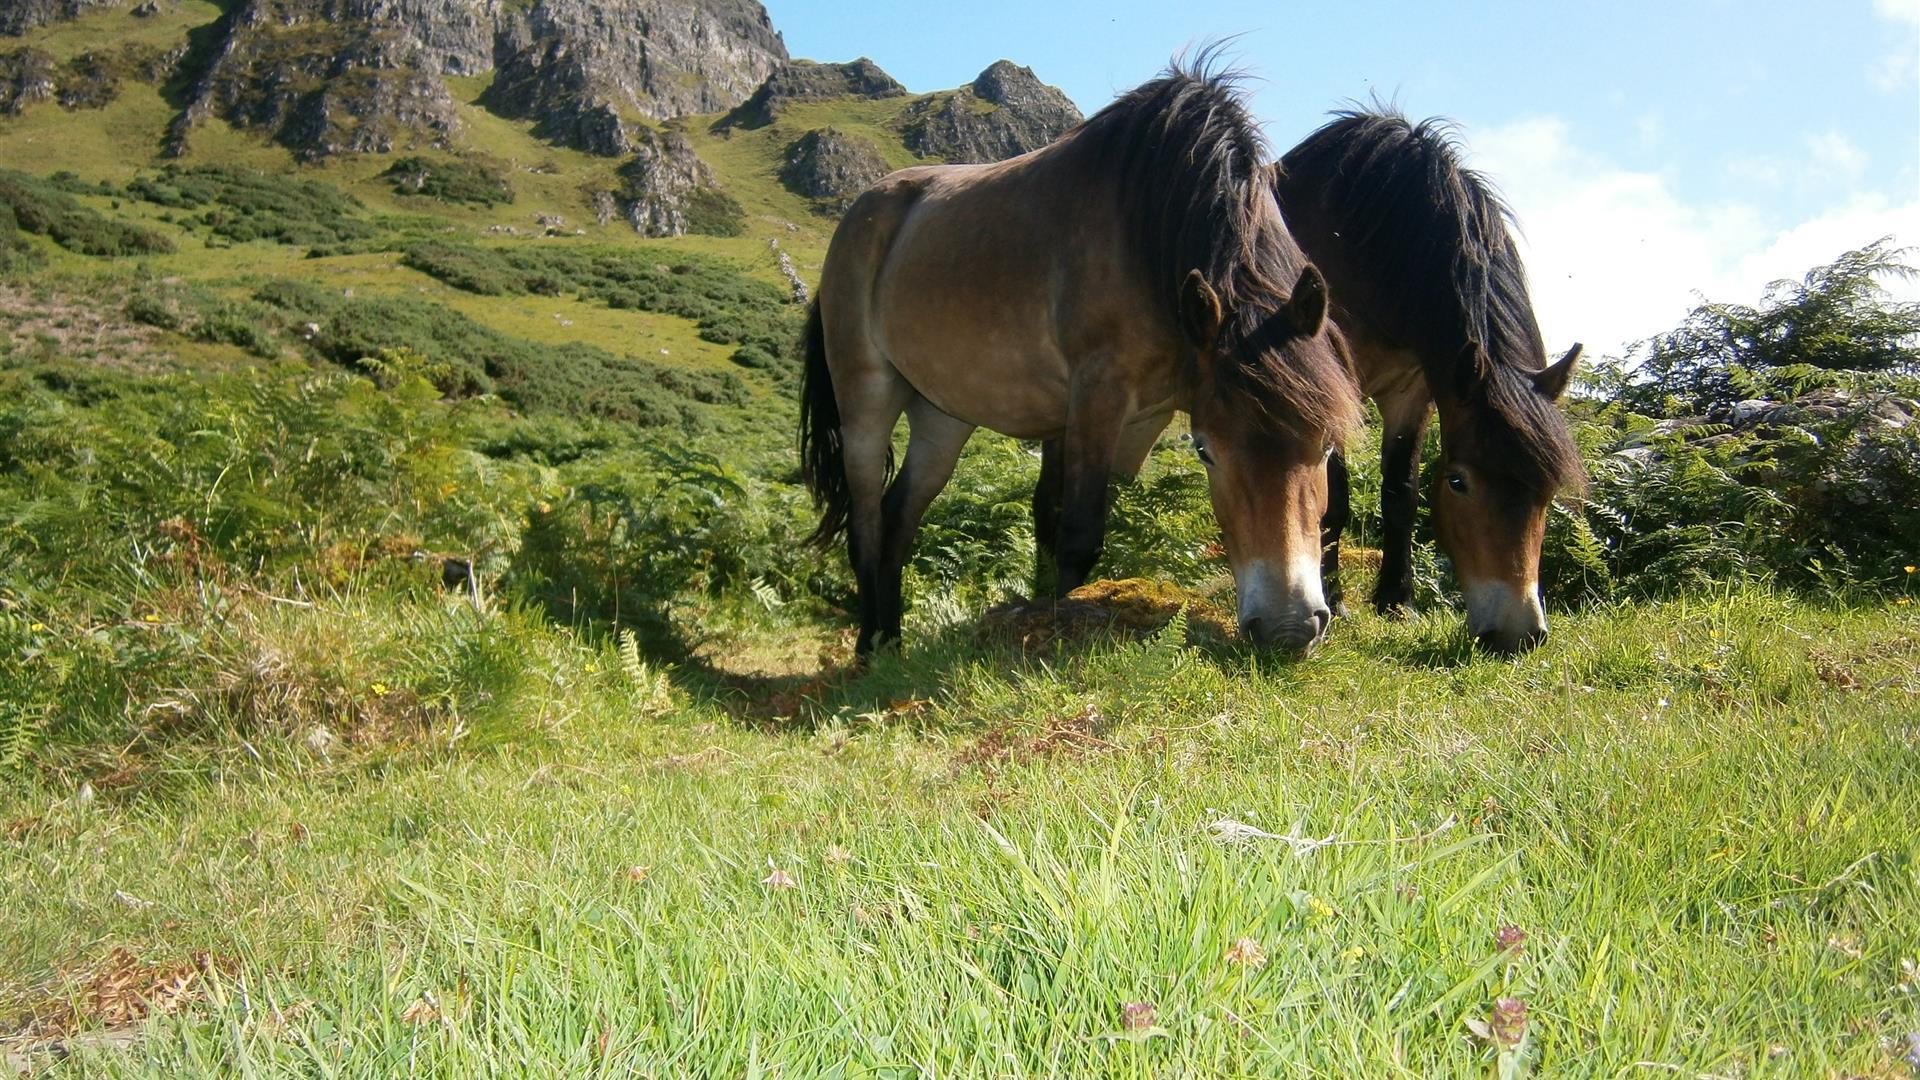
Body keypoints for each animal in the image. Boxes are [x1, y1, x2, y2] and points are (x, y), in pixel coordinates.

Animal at [802, 67, 1359, 661]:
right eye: (1205, 452)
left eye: (1327, 446)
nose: (1288, 628)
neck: (1148, 230)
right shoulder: (1097, 398)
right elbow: (1078, 533)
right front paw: (1058, 624)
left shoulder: (1141, 420)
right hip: (865, 401)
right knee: (865, 522)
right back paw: (868, 647)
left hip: (942, 417)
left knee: (899, 516)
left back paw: (891, 642)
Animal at [1274, 107, 1589, 645]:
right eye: (1459, 483)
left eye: (1547, 491)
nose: (1518, 632)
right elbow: (1332, 499)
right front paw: (1335, 600)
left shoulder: (1414, 391)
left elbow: (1401, 493)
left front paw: (1397, 601)